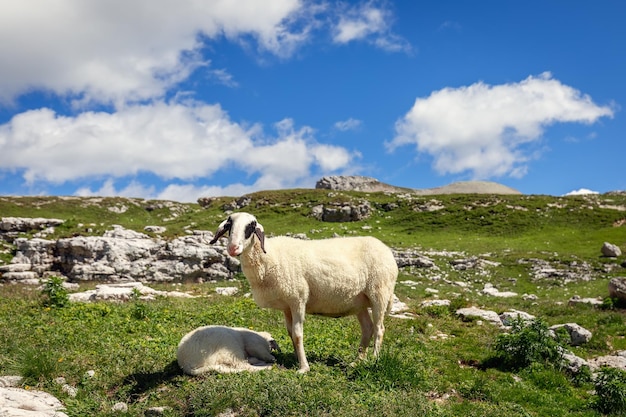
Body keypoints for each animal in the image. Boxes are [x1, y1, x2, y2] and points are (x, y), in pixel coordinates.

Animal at [208, 211, 394, 370]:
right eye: (229, 225)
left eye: (251, 226)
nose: (233, 248)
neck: (269, 258)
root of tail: (386, 249)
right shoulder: (286, 306)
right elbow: (291, 334)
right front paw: (297, 360)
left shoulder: (297, 298)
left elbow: (297, 334)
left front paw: (304, 368)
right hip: (359, 301)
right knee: (368, 328)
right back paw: (357, 362)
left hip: (379, 293)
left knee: (379, 329)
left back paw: (373, 361)